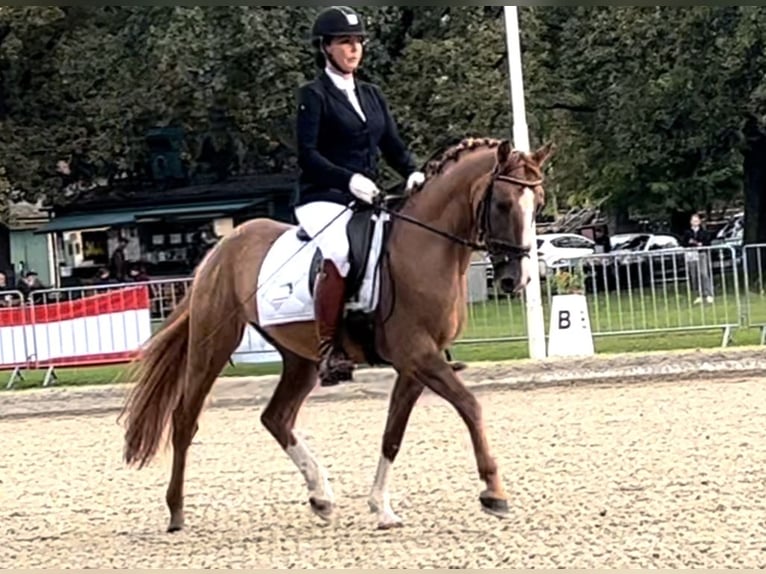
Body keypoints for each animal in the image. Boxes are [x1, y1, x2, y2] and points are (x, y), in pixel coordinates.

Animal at [118, 137, 552, 532]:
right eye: (502, 204)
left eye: (539, 204)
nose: (516, 278)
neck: (425, 249)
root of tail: (221, 248)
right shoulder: (419, 356)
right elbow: (470, 406)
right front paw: (494, 491)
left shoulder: (414, 366)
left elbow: (392, 435)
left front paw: (381, 507)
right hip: (212, 345)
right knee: (184, 419)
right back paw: (176, 511)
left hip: (300, 358)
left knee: (275, 417)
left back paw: (321, 496)